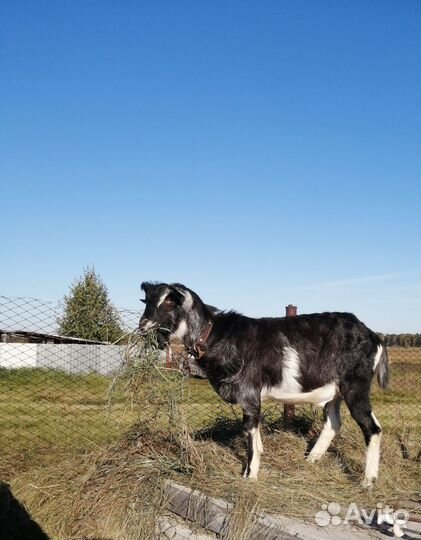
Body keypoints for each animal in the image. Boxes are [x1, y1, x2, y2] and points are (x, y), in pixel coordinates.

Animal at [139, 284, 388, 488]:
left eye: (169, 301)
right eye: (147, 302)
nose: (143, 326)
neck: (215, 336)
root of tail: (374, 337)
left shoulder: (249, 392)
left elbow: (249, 428)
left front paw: (250, 475)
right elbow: (255, 430)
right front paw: (259, 457)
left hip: (355, 385)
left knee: (372, 427)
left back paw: (367, 480)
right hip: (334, 394)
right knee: (333, 423)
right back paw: (310, 460)